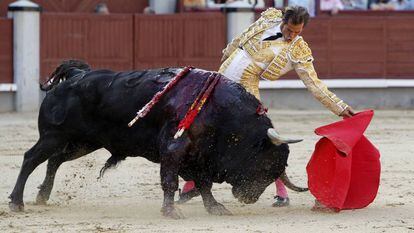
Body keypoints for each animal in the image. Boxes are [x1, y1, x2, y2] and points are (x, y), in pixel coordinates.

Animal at [8, 60, 308, 218]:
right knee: (31, 158)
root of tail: (75, 74)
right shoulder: (173, 149)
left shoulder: (201, 156)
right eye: (266, 161)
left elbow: (204, 184)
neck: (221, 112)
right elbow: (170, 180)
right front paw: (171, 211)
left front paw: (215, 207)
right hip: (54, 135)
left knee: (54, 161)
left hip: (82, 143)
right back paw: (16, 201)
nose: (249, 198)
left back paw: (42, 196)